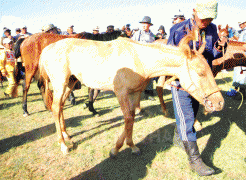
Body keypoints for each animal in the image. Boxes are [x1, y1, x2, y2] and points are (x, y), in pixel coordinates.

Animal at [39, 30, 225, 155]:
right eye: (200, 72)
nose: (219, 102)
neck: (138, 59)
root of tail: (47, 49)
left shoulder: (135, 93)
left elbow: (132, 117)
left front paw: (129, 145)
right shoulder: (121, 93)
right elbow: (128, 117)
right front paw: (119, 148)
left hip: (70, 84)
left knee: (60, 107)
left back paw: (67, 135)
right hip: (60, 84)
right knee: (55, 108)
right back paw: (63, 144)